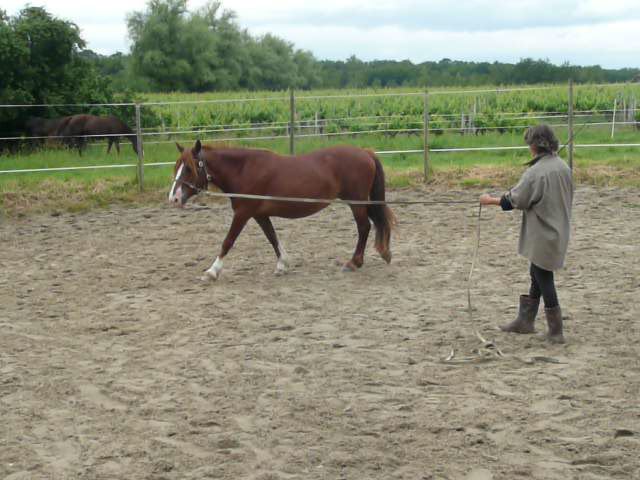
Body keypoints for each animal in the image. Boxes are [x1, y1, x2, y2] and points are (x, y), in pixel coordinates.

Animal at [168, 141, 396, 280]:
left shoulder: (243, 213)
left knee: (364, 227)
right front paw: (282, 264)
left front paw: (212, 271)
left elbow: (228, 241)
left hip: (356, 202)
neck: (244, 170)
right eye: (177, 166)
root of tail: (365, 152)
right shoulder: (259, 215)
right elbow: (272, 237)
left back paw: (354, 262)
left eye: (189, 168)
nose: (174, 198)